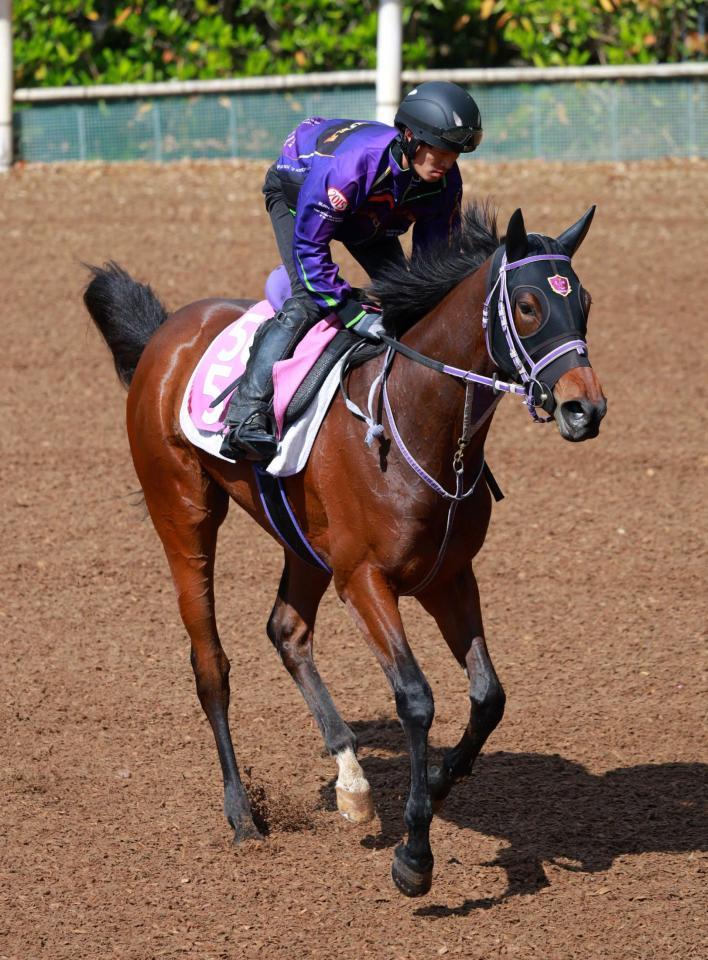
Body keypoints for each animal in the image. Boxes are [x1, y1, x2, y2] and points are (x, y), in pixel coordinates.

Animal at [84, 202, 606, 897]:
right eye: (525, 305)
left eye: (585, 302)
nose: (585, 409)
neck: (415, 417)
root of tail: (166, 333)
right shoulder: (364, 579)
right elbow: (415, 697)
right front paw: (414, 854)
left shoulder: (449, 576)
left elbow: (488, 696)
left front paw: (436, 784)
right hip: (183, 515)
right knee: (210, 664)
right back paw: (242, 815)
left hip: (304, 542)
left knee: (287, 630)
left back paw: (351, 782)